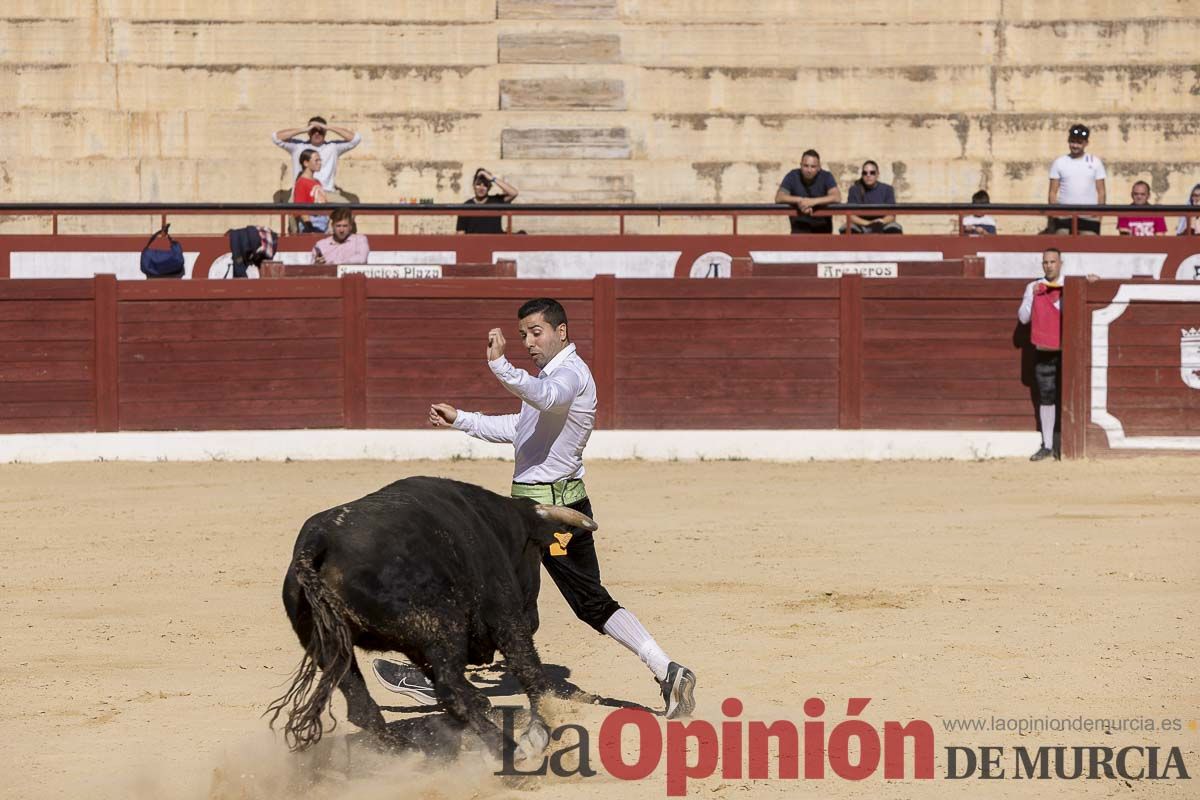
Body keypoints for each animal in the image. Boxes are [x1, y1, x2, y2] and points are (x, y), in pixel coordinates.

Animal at [267, 474, 595, 758]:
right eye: (537, 551)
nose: (534, 619)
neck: (492, 523)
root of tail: (317, 541)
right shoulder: (505, 614)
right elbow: (530, 670)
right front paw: (541, 729)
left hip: (334, 648)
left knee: (364, 707)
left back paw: (409, 753)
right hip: (442, 628)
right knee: (453, 692)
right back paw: (508, 752)